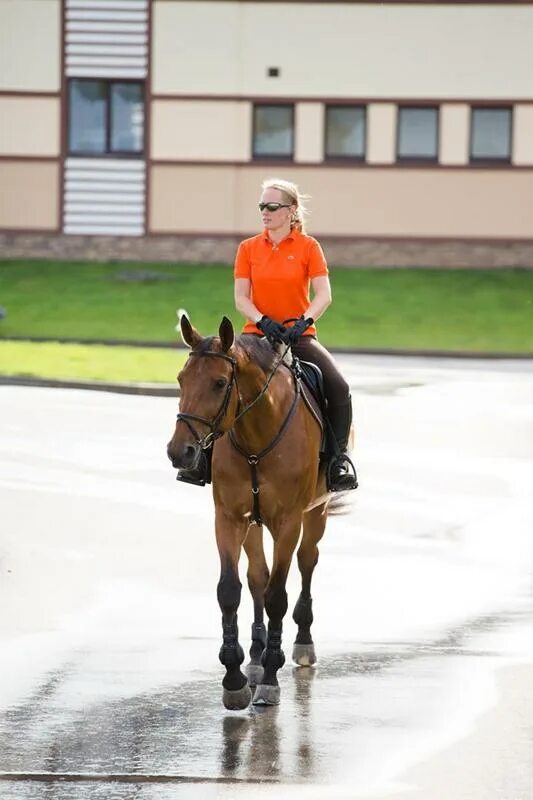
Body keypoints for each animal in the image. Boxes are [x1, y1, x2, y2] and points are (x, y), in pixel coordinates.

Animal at [168, 316, 330, 708]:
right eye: (181, 378)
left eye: (219, 383)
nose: (179, 452)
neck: (257, 431)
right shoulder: (229, 517)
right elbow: (231, 590)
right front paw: (235, 677)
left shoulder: (288, 522)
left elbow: (277, 596)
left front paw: (271, 676)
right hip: (254, 523)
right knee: (257, 575)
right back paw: (255, 657)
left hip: (315, 513)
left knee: (306, 561)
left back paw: (301, 641)